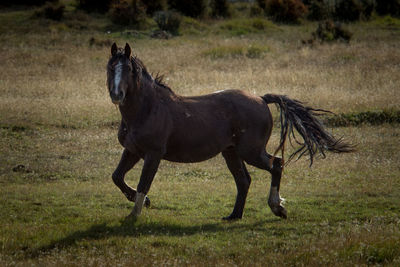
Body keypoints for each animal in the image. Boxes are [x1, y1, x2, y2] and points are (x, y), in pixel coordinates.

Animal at [106, 43, 354, 221]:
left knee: (276, 164)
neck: (147, 109)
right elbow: (117, 177)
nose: (117, 94)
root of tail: (261, 98)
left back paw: (277, 208)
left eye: (128, 69)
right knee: (244, 180)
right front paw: (145, 202)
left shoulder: (153, 154)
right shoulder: (133, 151)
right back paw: (234, 215)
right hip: (231, 152)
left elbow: (143, 183)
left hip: (250, 151)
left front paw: (135, 214)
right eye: (110, 68)